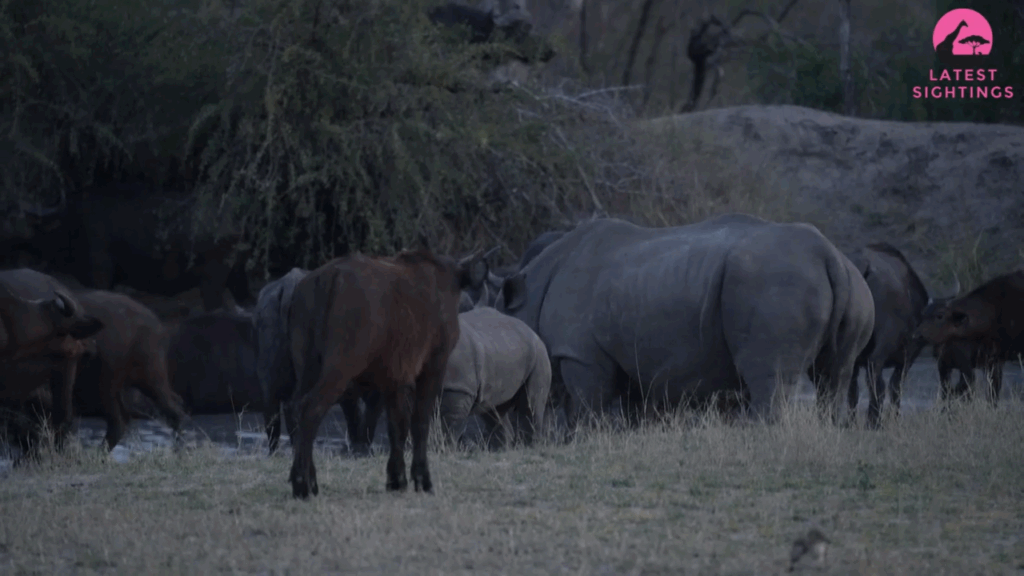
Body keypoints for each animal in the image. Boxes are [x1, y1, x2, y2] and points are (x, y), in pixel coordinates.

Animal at [287, 250, 489, 499]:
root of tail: (327, 278)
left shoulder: (394, 378)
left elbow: (396, 426)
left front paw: (396, 478)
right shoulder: (433, 366)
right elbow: (419, 423)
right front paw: (422, 478)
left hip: (307, 368)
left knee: (294, 409)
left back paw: (307, 480)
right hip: (340, 368)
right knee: (311, 408)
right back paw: (302, 483)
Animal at [438, 306, 551, 448]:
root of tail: (533, 331)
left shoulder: (458, 387)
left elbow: (449, 425)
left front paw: (445, 449)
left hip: (539, 354)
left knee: (530, 405)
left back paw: (531, 446)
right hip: (503, 349)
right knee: (494, 409)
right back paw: (501, 449)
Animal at [495, 214, 874, 428]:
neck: (530, 294)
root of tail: (828, 254)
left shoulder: (580, 354)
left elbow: (588, 407)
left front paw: (583, 438)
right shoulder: (635, 357)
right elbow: (635, 409)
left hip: (773, 282)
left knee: (769, 373)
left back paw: (759, 435)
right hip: (855, 289)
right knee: (835, 374)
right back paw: (830, 431)